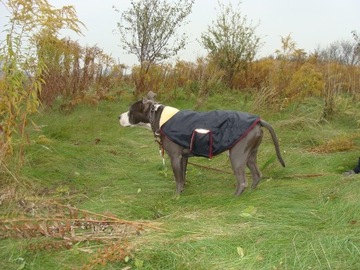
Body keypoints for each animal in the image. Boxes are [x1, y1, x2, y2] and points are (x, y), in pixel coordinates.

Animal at [119, 92, 286, 195]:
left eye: (130, 110)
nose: (119, 117)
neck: (158, 117)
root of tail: (258, 121)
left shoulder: (175, 157)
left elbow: (177, 179)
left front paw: (176, 196)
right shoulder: (183, 158)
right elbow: (182, 176)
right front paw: (183, 190)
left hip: (237, 155)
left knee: (242, 181)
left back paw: (234, 197)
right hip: (250, 153)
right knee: (257, 174)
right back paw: (251, 192)